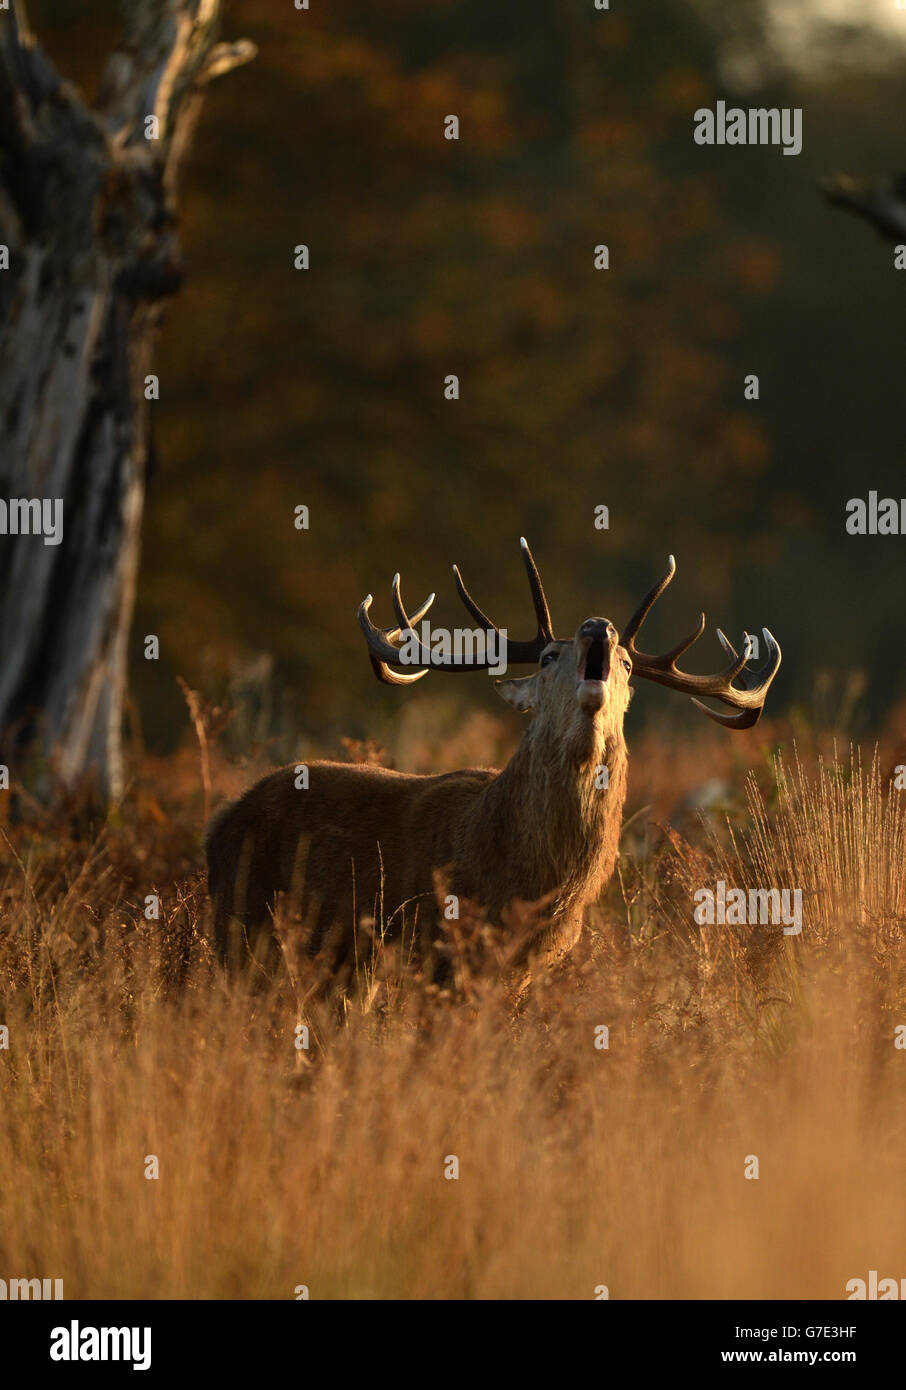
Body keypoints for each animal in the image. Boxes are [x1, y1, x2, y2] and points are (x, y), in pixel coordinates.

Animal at [205, 540, 780, 990]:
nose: (599, 625)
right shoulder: (429, 947)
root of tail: (220, 822)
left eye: (626, 664)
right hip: (243, 927)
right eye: (547, 656)